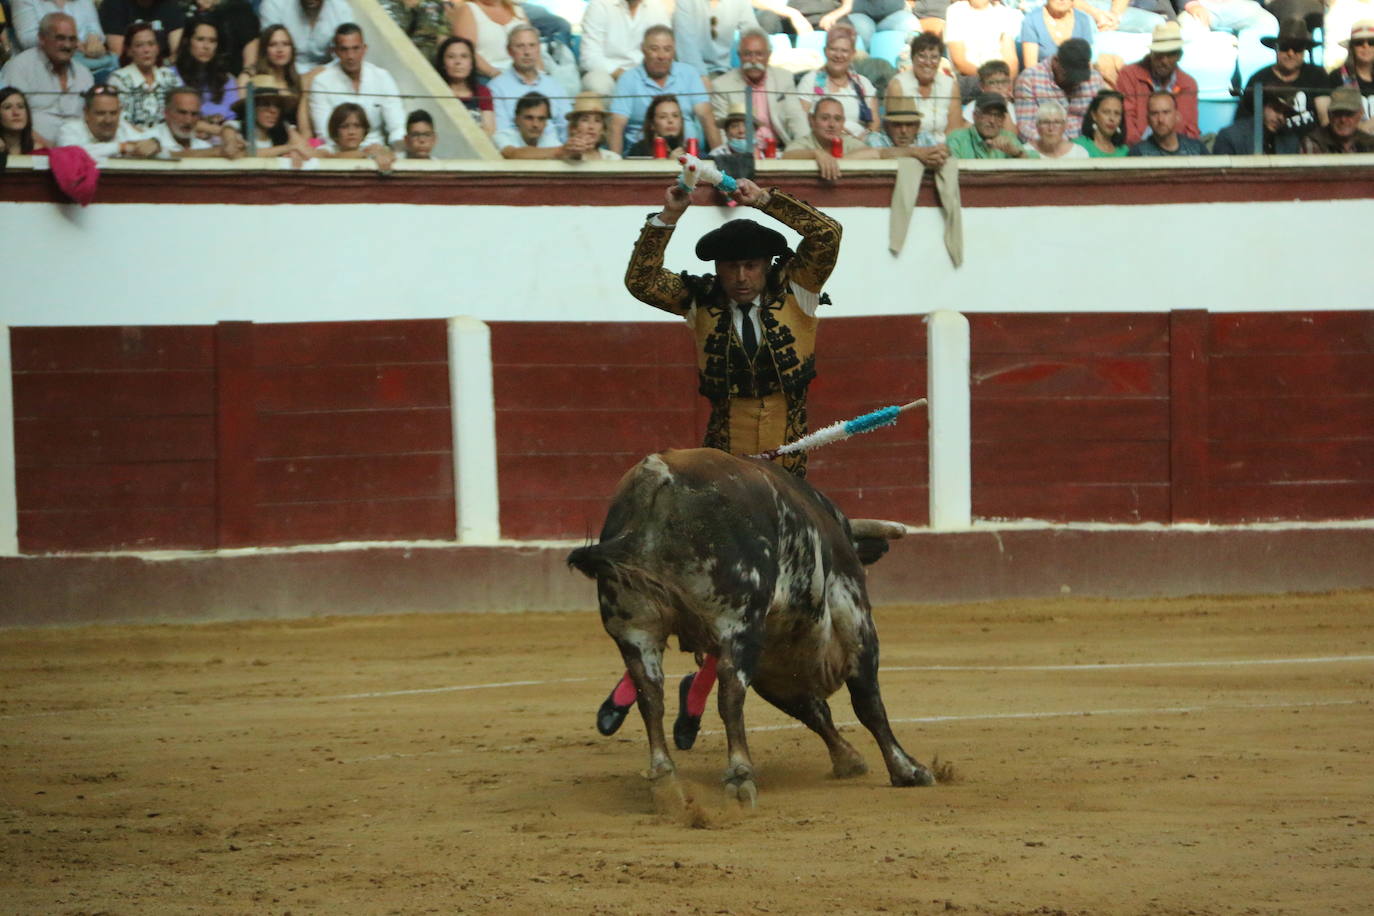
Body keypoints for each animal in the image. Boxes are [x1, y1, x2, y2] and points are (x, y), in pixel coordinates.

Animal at [566, 447, 934, 807]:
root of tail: (656, 475)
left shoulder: (774, 666)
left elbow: (813, 710)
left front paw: (848, 759)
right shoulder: (854, 617)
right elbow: (867, 703)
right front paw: (907, 770)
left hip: (636, 629)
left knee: (650, 695)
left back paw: (665, 778)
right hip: (737, 620)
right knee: (730, 691)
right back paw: (740, 775)